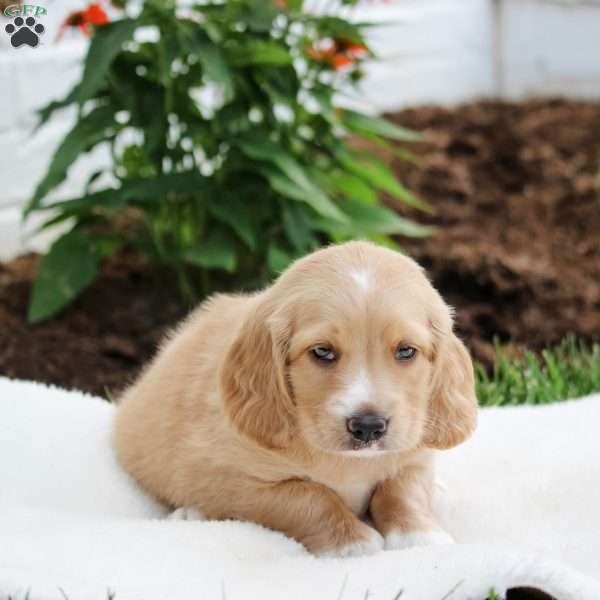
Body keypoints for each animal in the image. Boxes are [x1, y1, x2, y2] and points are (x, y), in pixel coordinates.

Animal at [113, 240, 478, 556]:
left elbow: (403, 489)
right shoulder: (235, 482)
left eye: (406, 351)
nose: (369, 427)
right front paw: (352, 543)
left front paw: (420, 535)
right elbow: (307, 495)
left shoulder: (414, 454)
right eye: (322, 352)